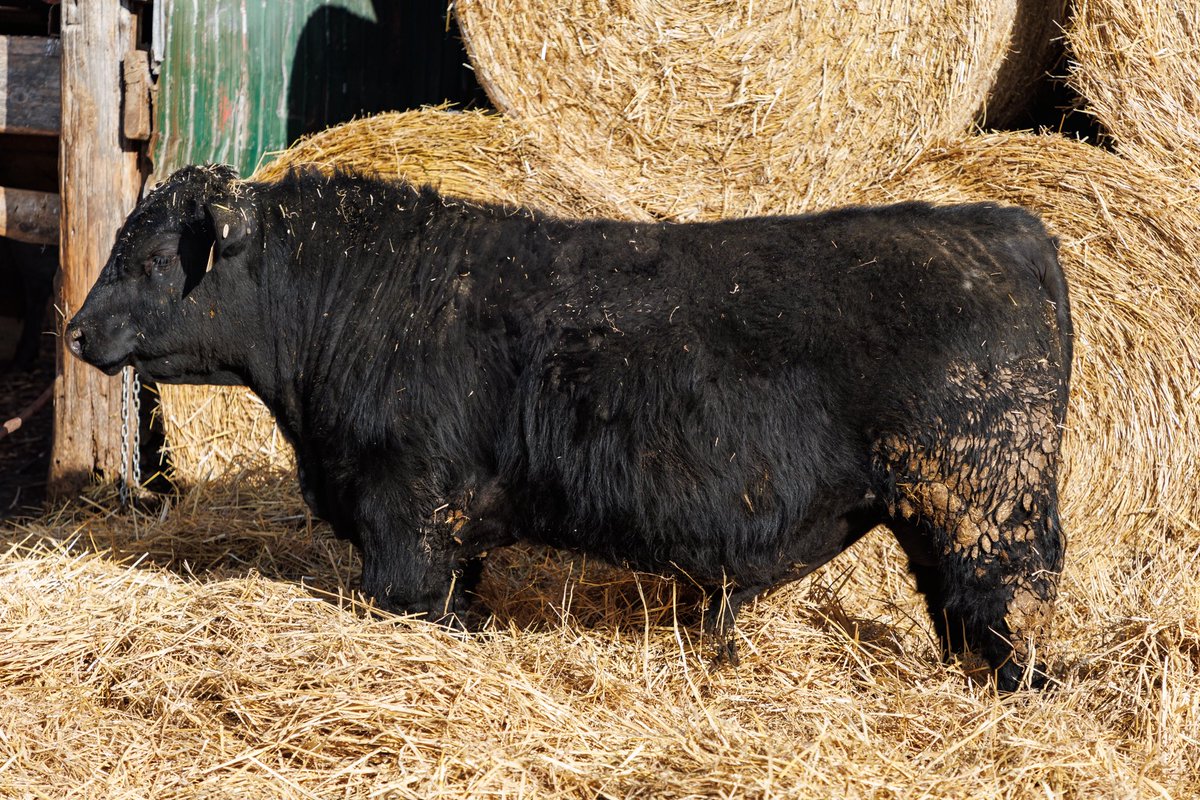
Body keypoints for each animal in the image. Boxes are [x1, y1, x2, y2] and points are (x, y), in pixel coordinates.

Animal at [67, 164, 1072, 692]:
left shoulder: (402, 519)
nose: (75, 330)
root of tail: (1011, 229)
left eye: (150, 259)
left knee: (999, 605)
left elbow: (410, 598)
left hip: (984, 508)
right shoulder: (449, 533)